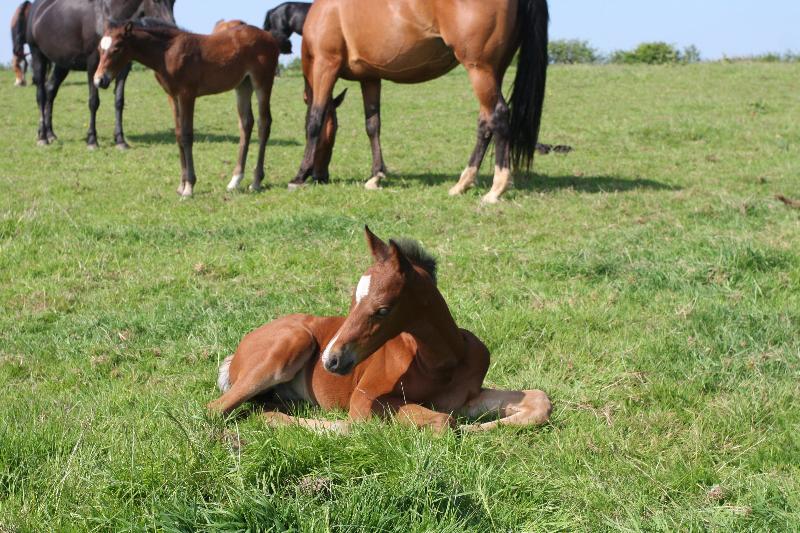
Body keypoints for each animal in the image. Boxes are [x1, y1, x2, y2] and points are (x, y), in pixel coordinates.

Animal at [26, 0, 175, 148]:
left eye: (173, 2)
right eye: (155, 1)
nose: (171, 28)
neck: (107, 16)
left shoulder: (123, 67)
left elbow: (119, 101)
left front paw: (120, 140)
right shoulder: (93, 65)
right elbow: (93, 102)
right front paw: (92, 140)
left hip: (62, 64)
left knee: (51, 90)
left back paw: (50, 134)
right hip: (38, 56)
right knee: (41, 95)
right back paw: (42, 137)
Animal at [209, 227, 552, 434]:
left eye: (382, 309)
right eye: (351, 301)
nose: (331, 360)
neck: (440, 363)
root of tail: (238, 351)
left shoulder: (466, 396)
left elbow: (540, 401)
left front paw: (478, 428)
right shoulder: (365, 400)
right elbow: (442, 421)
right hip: (293, 342)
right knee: (215, 409)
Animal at [290, 0, 548, 204]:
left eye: (332, 132)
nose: (321, 176)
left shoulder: (325, 65)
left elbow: (315, 119)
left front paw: (299, 176)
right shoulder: (370, 77)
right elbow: (373, 125)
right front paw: (376, 176)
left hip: (480, 69)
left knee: (498, 115)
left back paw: (496, 189)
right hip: (495, 71)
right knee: (485, 124)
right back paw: (462, 184)